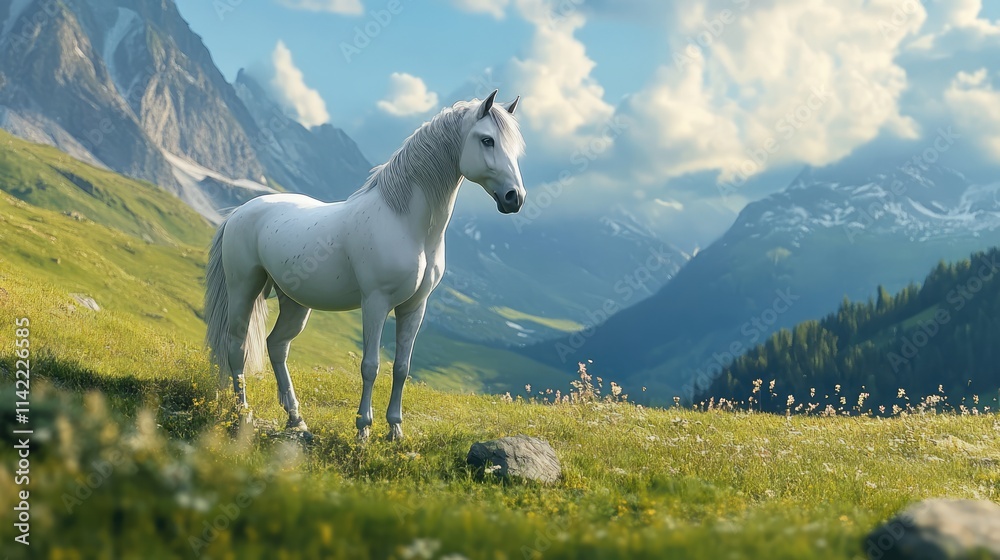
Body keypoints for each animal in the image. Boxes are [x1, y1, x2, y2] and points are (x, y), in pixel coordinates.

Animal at [204, 90, 526, 441]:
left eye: (515, 147)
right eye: (487, 140)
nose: (515, 198)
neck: (404, 223)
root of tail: (238, 212)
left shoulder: (415, 306)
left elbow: (401, 367)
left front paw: (396, 430)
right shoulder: (375, 302)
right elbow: (370, 366)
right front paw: (363, 431)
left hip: (295, 303)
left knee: (277, 346)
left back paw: (296, 419)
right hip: (243, 289)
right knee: (237, 346)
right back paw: (243, 413)